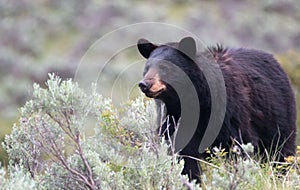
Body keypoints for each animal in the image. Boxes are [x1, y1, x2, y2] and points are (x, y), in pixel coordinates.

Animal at [137, 36, 296, 183]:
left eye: (165, 67)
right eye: (147, 67)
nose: (144, 84)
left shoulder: (229, 113)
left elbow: (237, 146)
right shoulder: (174, 118)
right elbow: (184, 155)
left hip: (278, 115)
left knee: (281, 150)